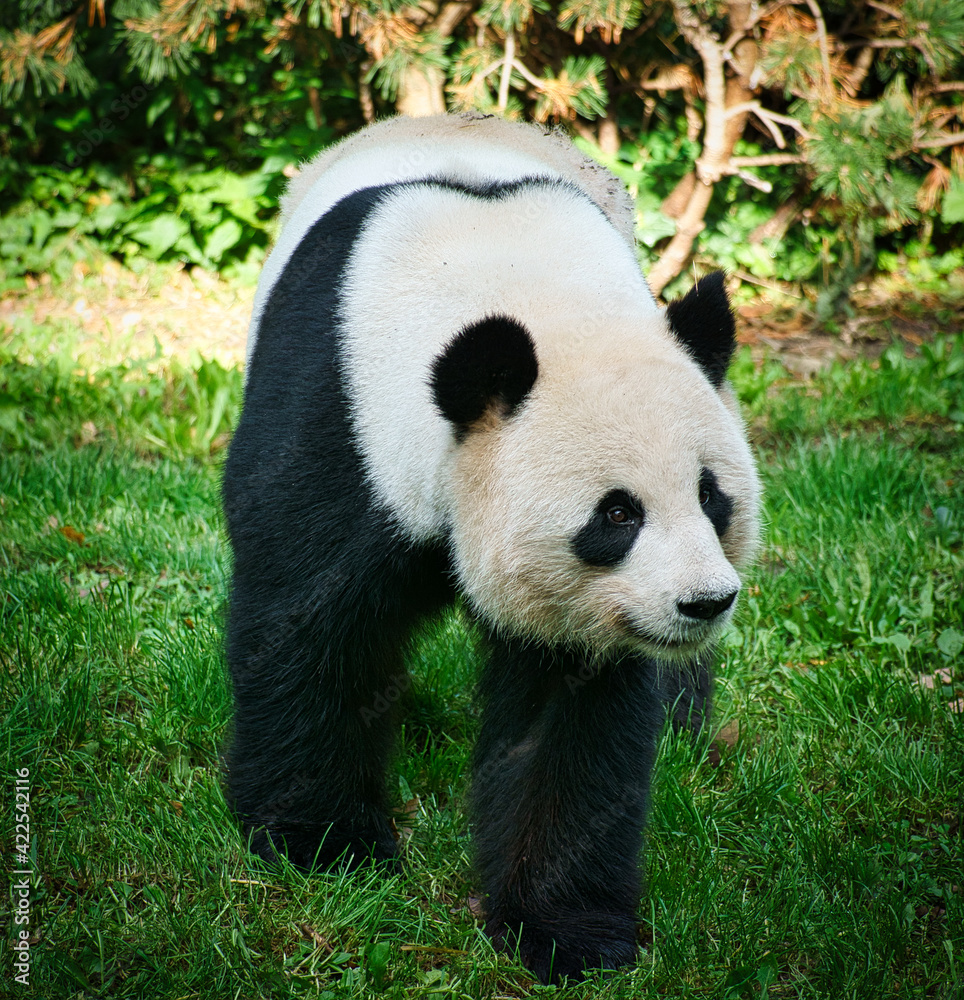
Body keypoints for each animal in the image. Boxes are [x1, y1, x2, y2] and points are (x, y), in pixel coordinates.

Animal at [223, 112, 761, 985]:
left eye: (713, 498)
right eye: (617, 515)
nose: (703, 602)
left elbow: (571, 716)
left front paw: (564, 932)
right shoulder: (342, 414)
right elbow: (309, 626)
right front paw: (323, 846)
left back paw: (685, 732)